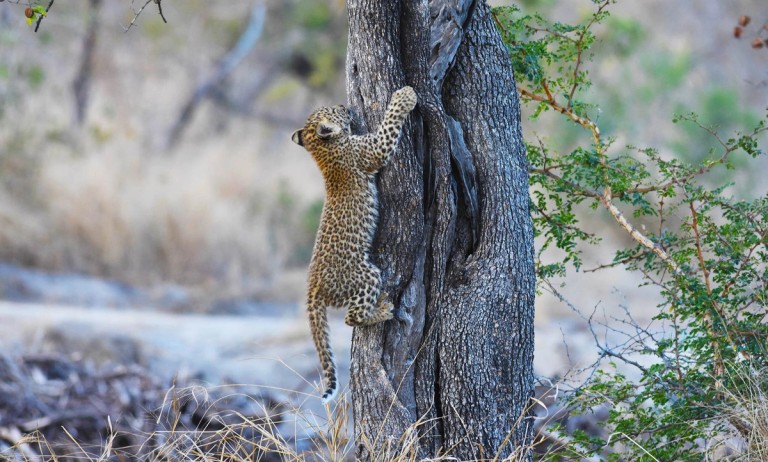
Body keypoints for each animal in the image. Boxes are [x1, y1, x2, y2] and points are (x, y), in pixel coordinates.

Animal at [291, 86, 418, 403]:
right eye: (331, 111)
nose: (341, 105)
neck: (323, 151)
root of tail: (312, 285)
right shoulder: (375, 150)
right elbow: (389, 122)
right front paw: (404, 96)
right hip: (366, 274)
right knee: (352, 317)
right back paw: (383, 310)